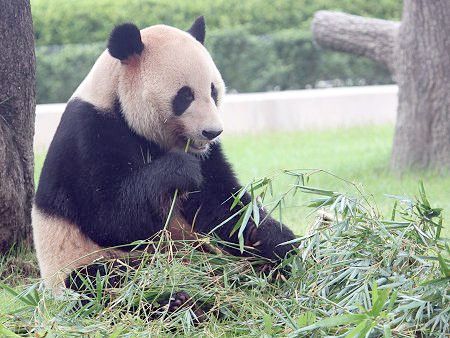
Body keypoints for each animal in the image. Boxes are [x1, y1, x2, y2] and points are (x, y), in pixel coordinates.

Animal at [33, 16, 298, 296]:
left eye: (213, 91)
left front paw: (276, 241)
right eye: (185, 95)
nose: (212, 132)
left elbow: (224, 205)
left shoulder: (207, 156)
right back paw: (176, 295)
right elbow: (110, 217)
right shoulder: (89, 133)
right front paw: (181, 170)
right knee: (106, 281)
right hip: (80, 261)